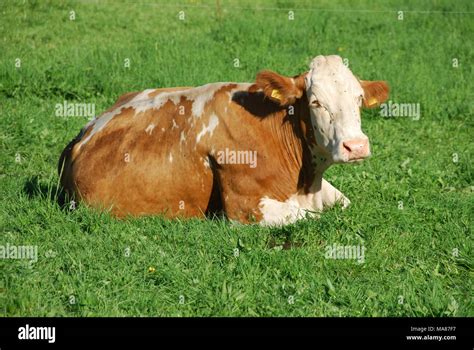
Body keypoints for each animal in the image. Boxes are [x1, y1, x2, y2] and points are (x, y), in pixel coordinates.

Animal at [58, 54, 388, 224]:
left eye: (359, 99)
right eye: (316, 101)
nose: (356, 146)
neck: (306, 180)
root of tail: (85, 132)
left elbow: (343, 203)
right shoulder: (246, 208)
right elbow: (307, 217)